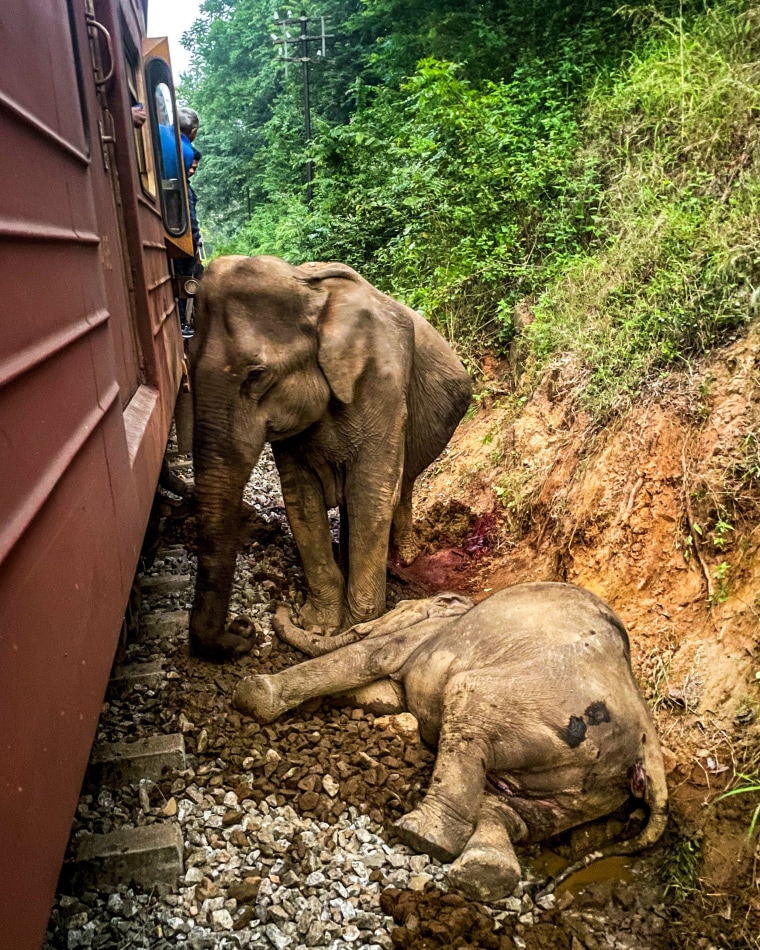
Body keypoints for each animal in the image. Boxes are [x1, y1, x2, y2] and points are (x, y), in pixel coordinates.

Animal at [186, 255, 470, 660]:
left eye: (257, 375)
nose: (244, 630)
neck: (310, 291)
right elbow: (301, 499)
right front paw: (320, 625)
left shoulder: (382, 385)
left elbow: (370, 493)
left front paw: (359, 624)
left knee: (400, 486)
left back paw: (403, 558)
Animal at [235, 580, 668, 900]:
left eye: (397, 608)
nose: (281, 604)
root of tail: (648, 748)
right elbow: (381, 697)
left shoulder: (422, 636)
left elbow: (370, 657)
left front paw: (253, 696)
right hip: (585, 791)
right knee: (514, 814)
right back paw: (483, 875)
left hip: (543, 715)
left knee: (468, 708)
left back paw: (421, 836)